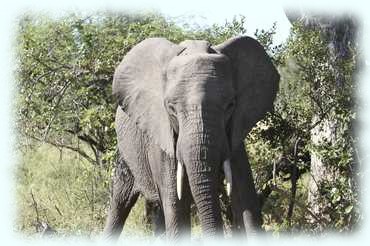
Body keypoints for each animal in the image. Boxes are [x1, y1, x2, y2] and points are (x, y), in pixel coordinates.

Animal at [102, 35, 278, 239]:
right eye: (171, 108)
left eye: (230, 105)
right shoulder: (163, 139)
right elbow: (176, 208)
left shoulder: (234, 135)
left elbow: (247, 201)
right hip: (126, 154)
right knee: (120, 201)